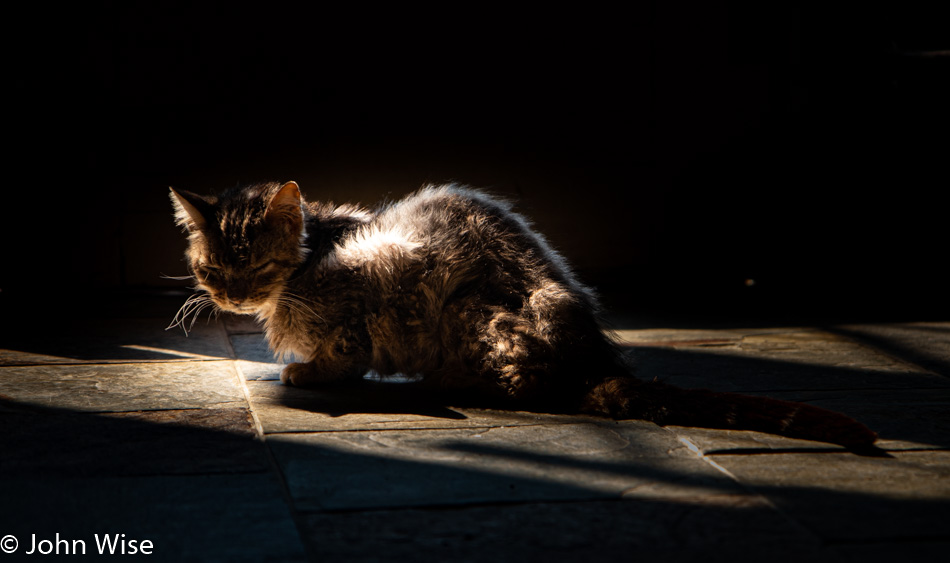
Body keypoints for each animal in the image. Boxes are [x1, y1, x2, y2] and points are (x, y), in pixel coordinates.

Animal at [171, 182, 884, 454]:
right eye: (213, 271)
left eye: (255, 266)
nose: (233, 297)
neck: (317, 246)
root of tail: (594, 357)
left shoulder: (366, 283)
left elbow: (343, 356)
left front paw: (305, 373)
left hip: (470, 308)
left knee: (520, 384)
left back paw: (443, 381)